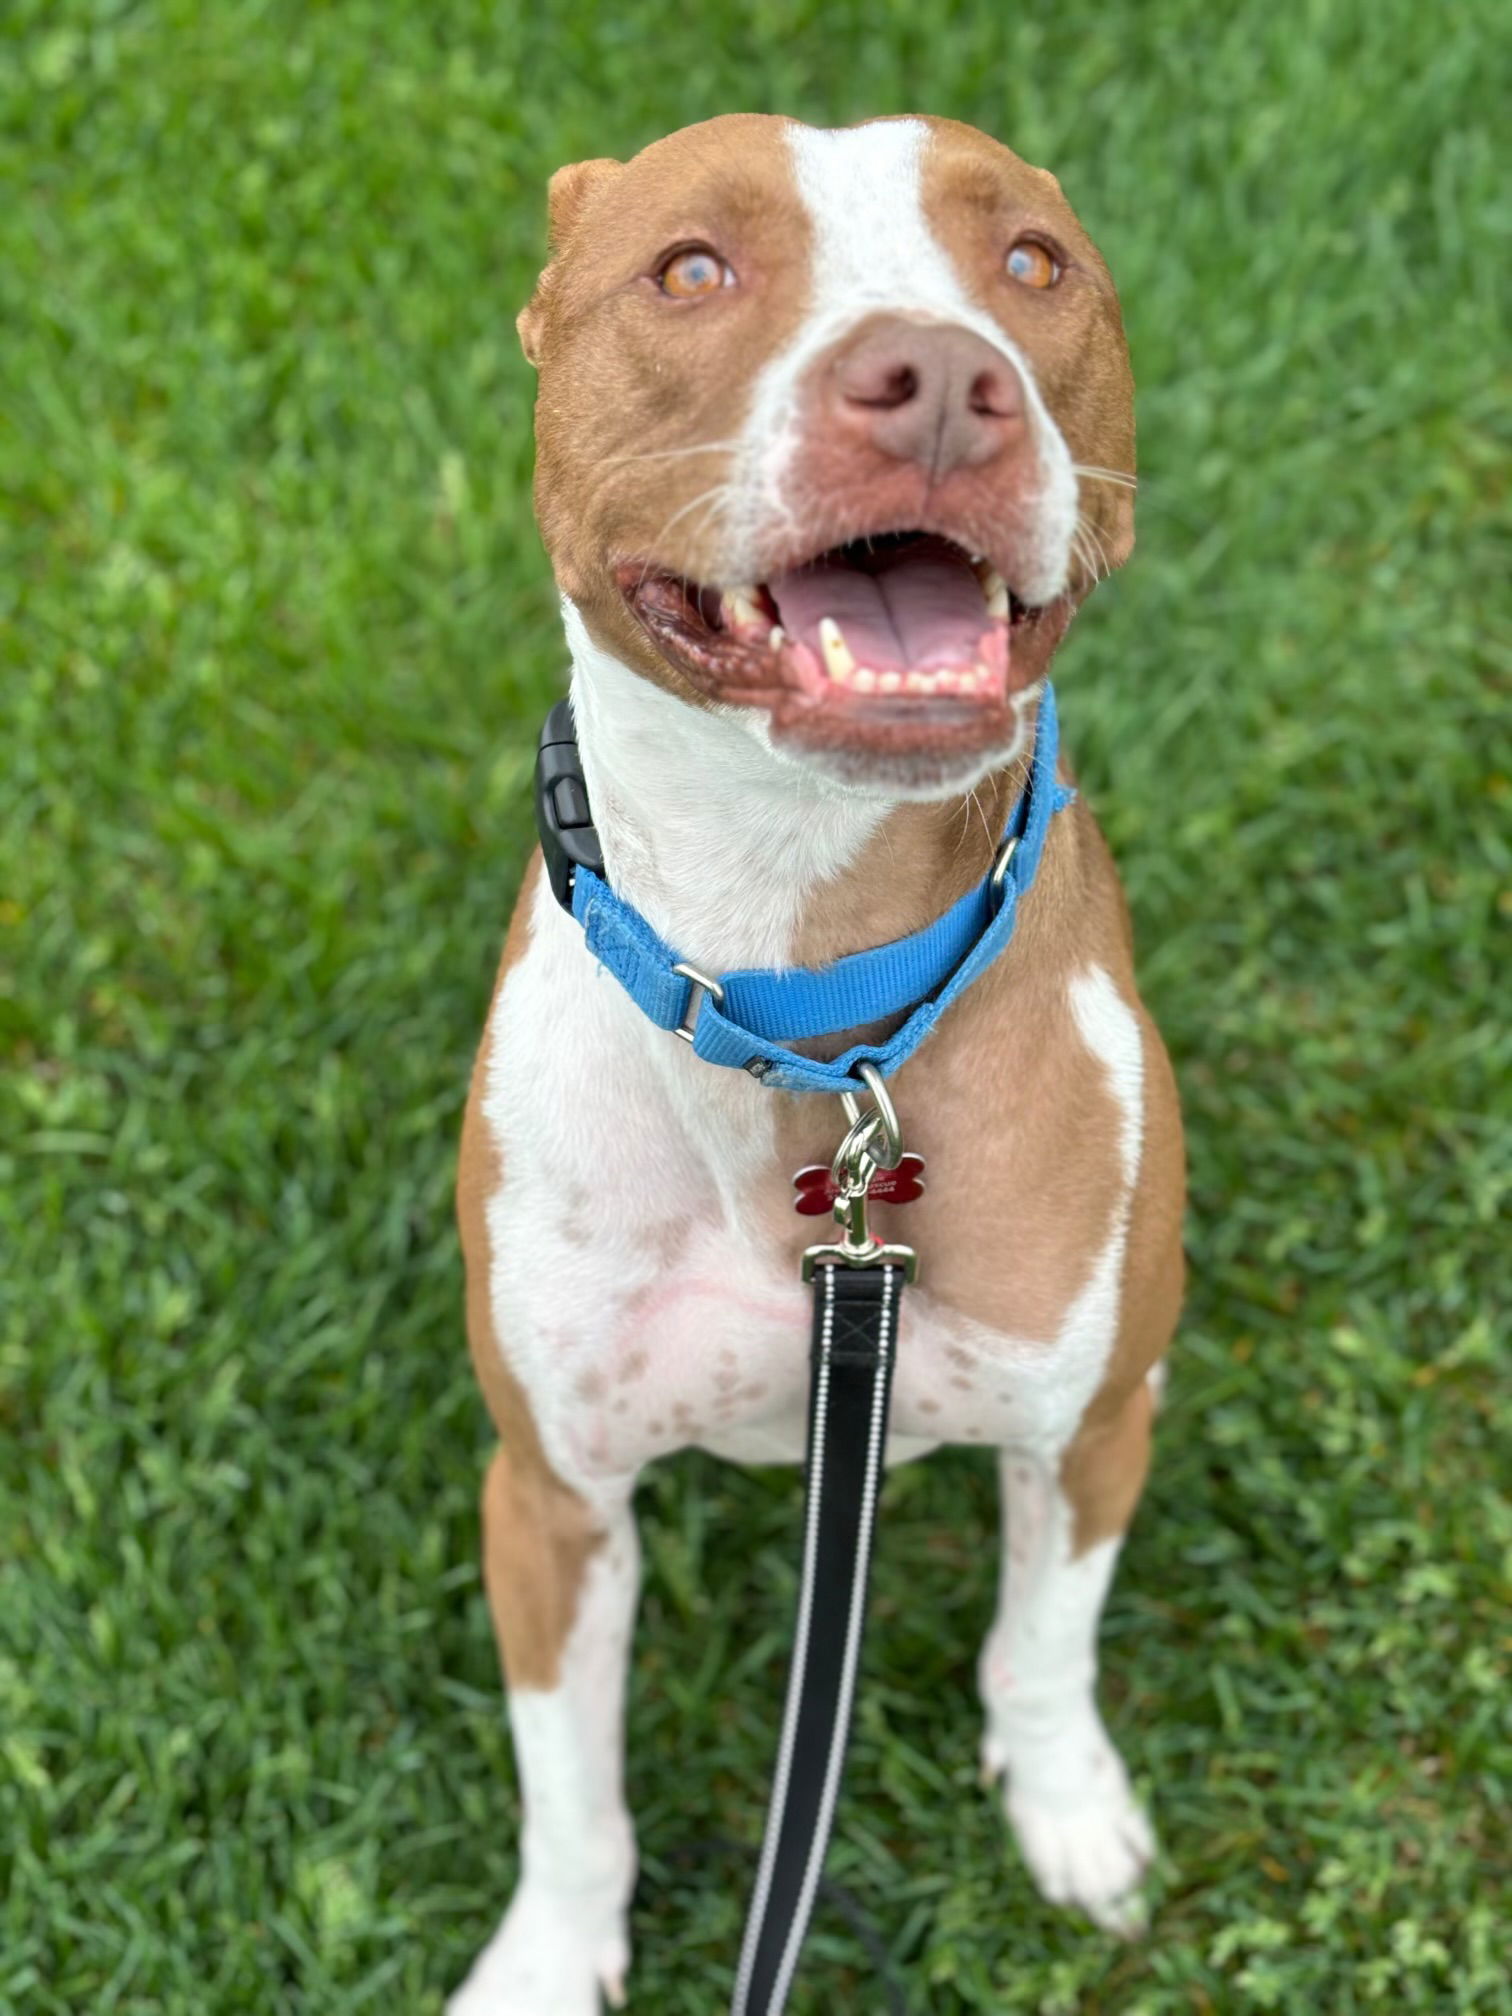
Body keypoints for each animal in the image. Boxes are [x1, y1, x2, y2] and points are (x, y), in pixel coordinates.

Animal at [455, 114, 1193, 2016]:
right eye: (691, 269)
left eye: (1032, 265)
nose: (937, 378)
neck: (799, 980)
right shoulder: (548, 1494)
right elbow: (569, 1794)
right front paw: (547, 1957)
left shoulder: (1096, 1418)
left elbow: (1043, 1644)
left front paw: (1067, 1809)